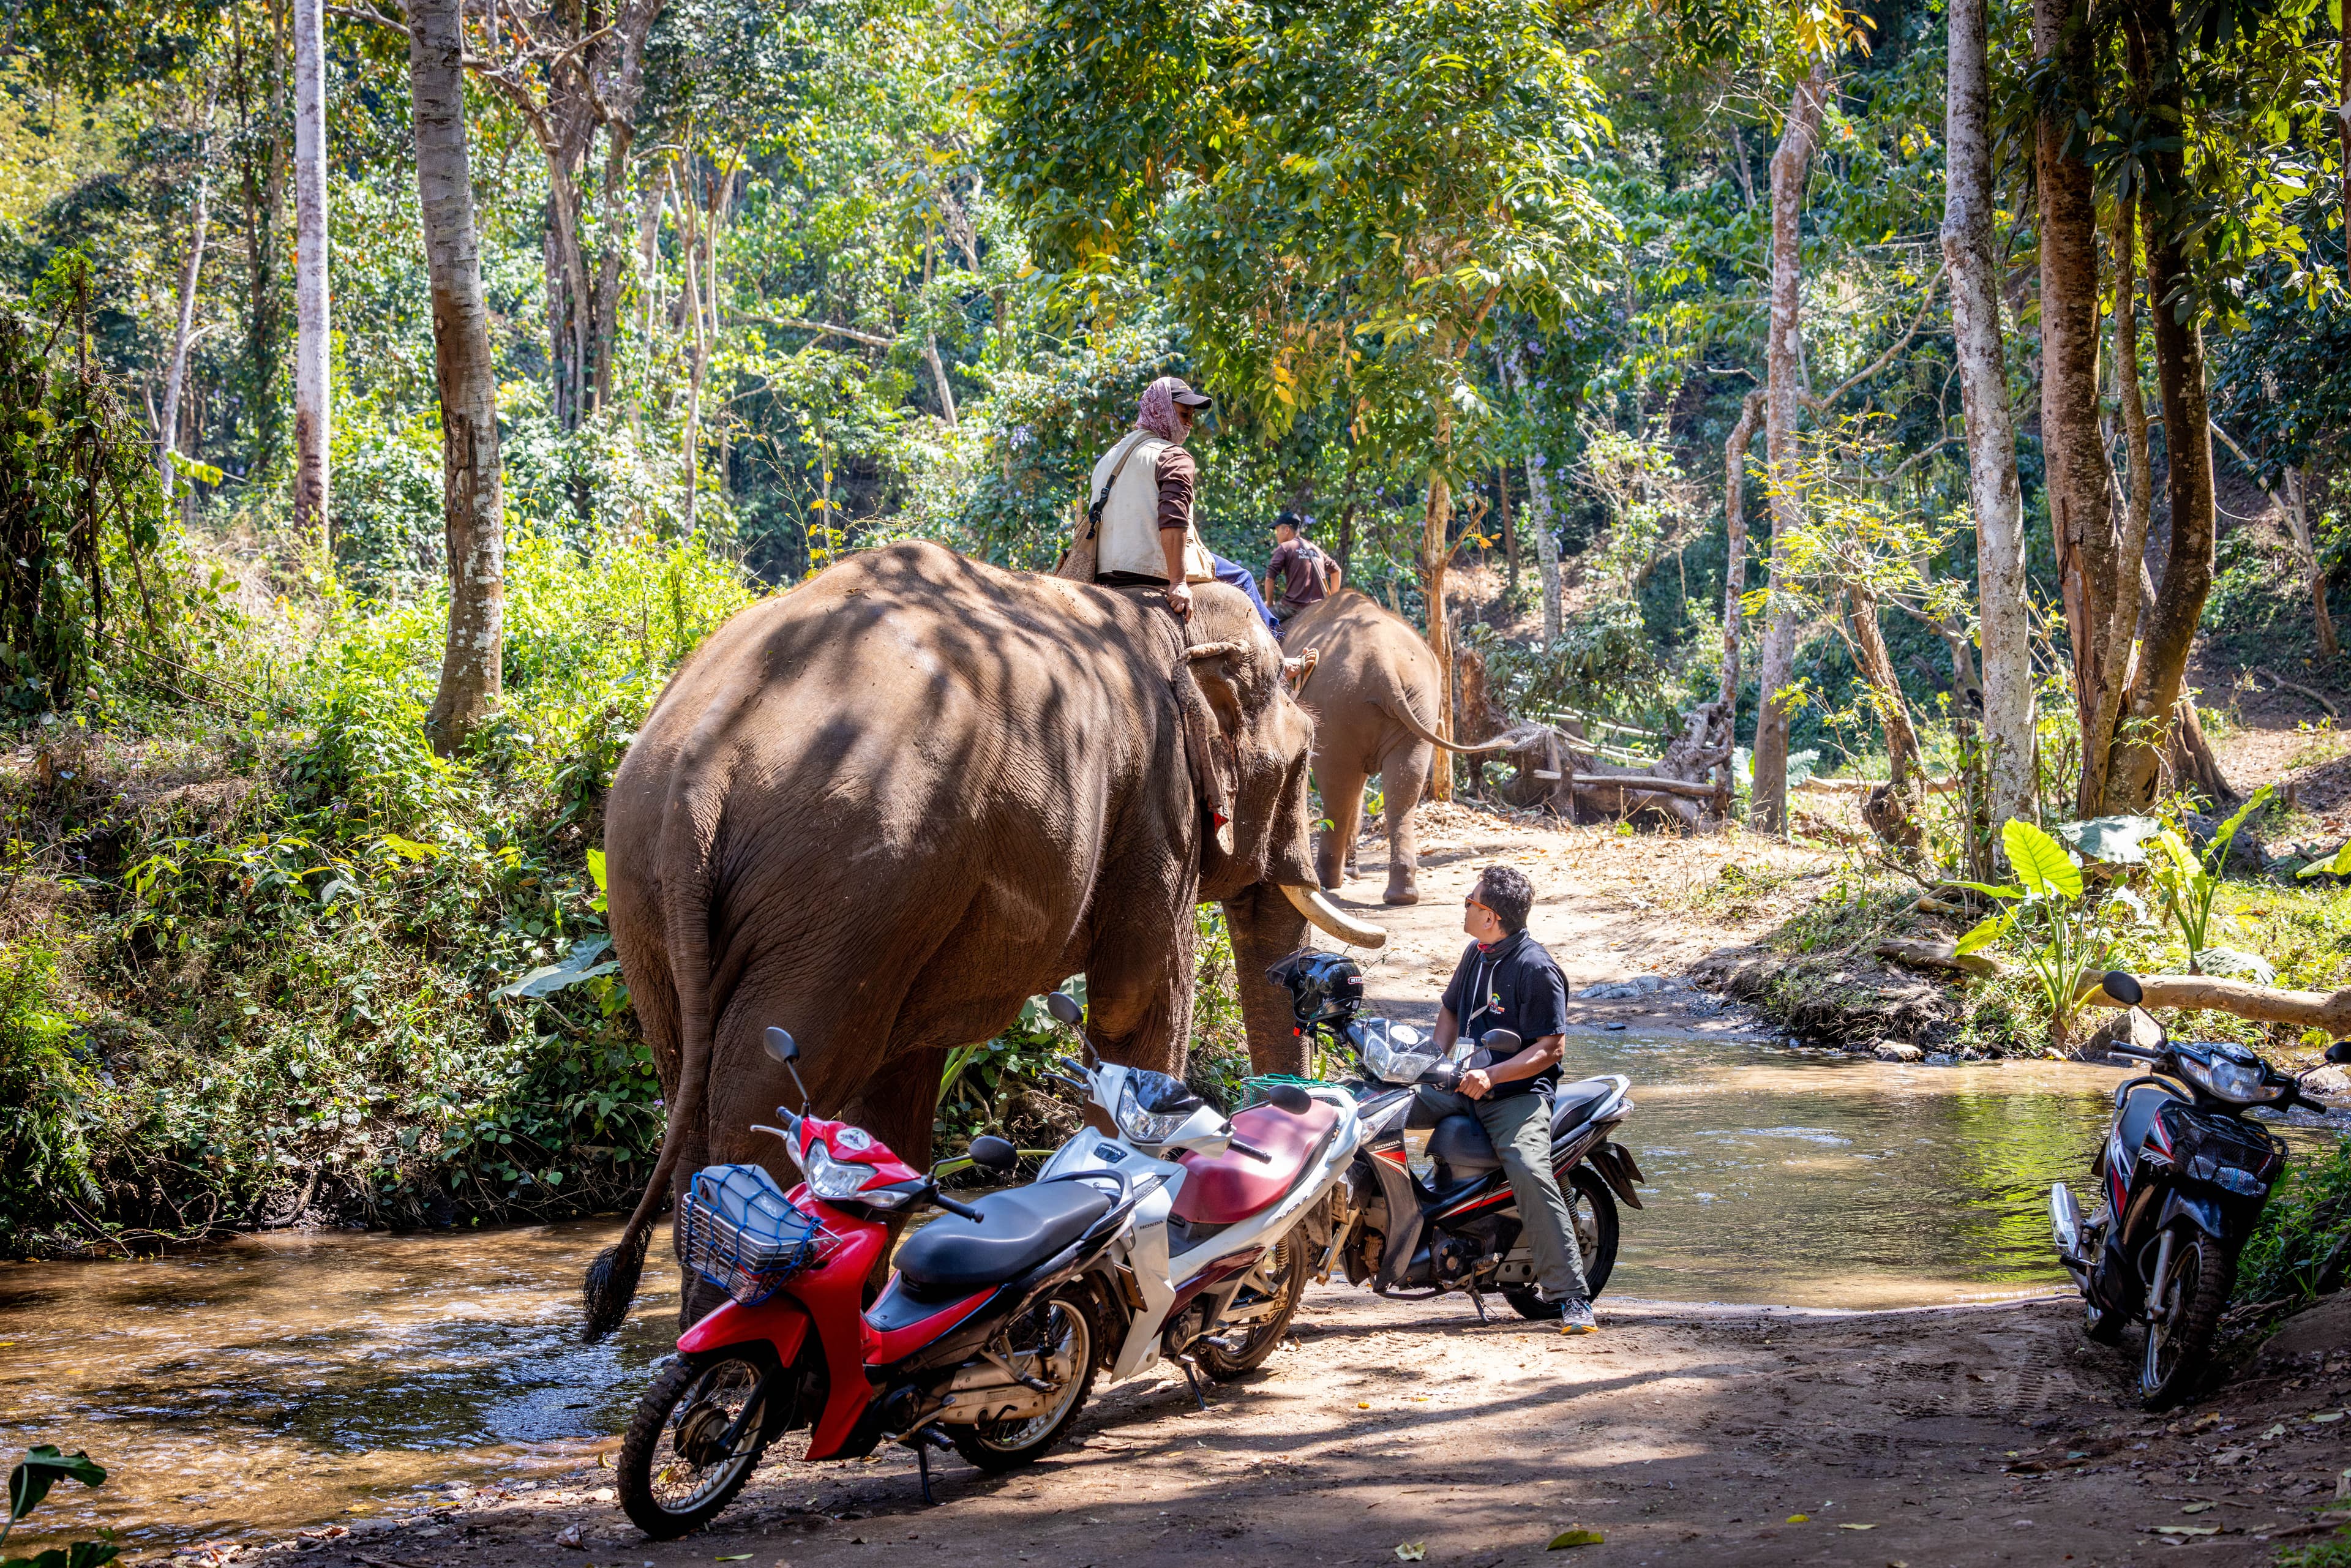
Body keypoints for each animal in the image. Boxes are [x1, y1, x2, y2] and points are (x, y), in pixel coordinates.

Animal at [580, 541, 1387, 1340]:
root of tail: (701, 771)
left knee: (692, 1094)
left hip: (659, 896)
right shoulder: (1157, 808)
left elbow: (902, 1086)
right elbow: (1136, 1004)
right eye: (1301, 761)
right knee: (760, 1111)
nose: (1290, 1265)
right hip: (839, 886)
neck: (1165, 612)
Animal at [1281, 589, 1522, 905]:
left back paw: (1328, 882)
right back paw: (1401, 896)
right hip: (1420, 703)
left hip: (1336, 707)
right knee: (1402, 791)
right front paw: (1355, 872)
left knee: (1338, 789)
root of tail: (1384, 668)